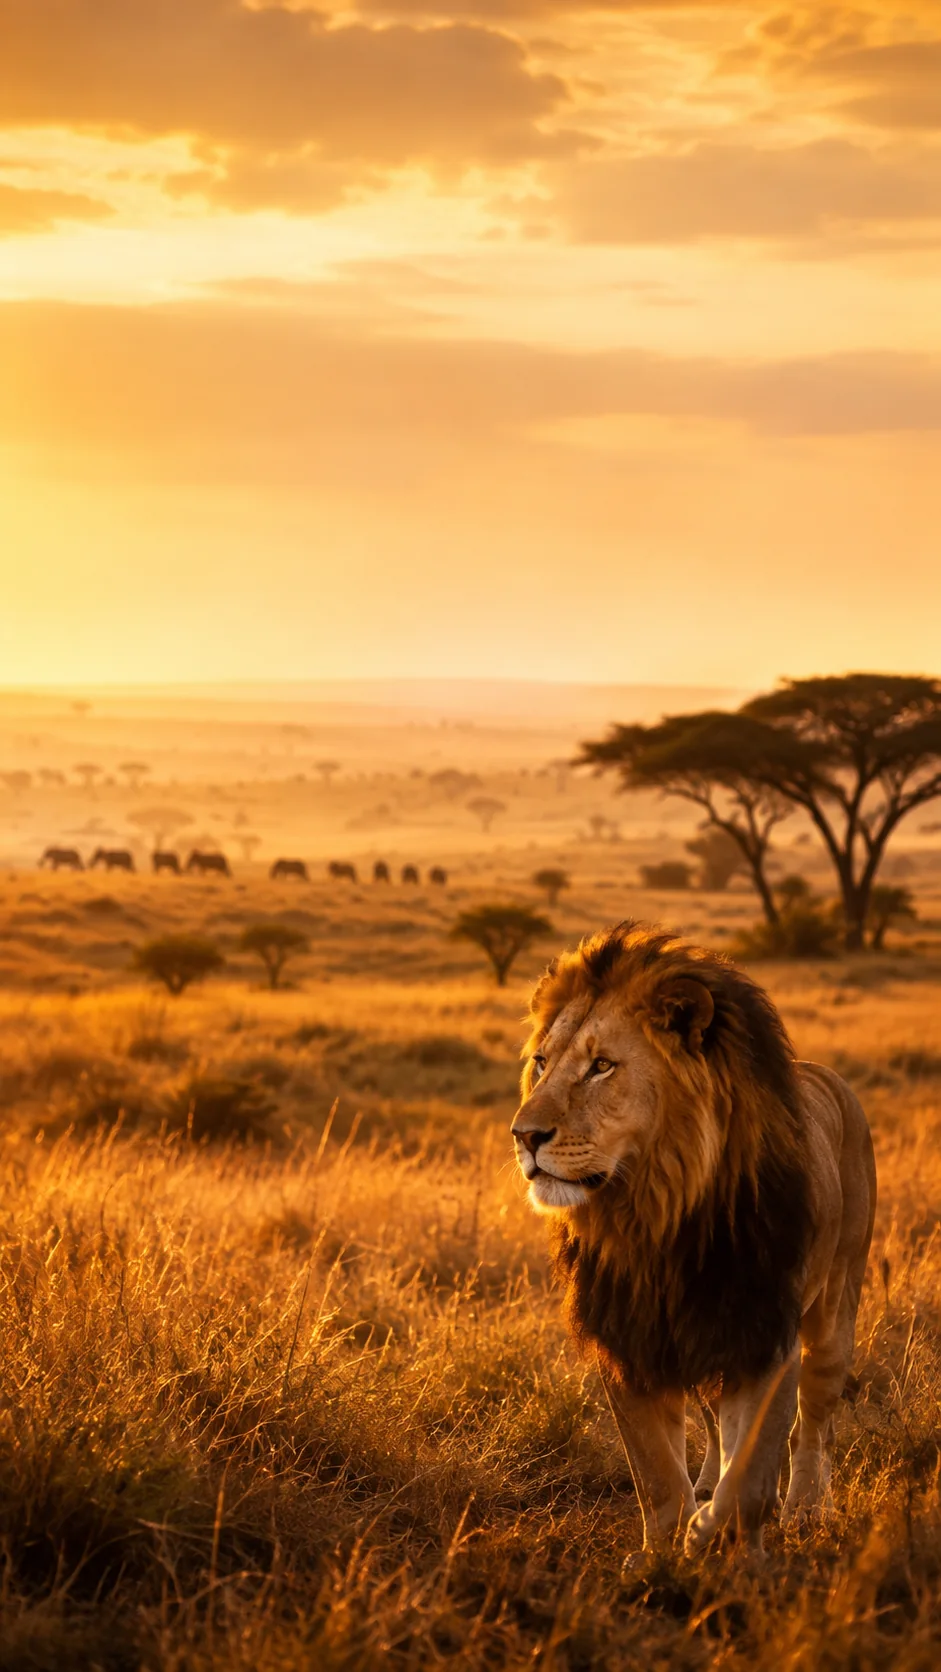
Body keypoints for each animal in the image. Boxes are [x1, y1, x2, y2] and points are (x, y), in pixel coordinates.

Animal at [511, 922, 876, 1557]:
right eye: (541, 1062)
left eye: (601, 1066)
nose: (523, 1135)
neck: (656, 1218)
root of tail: (829, 1076)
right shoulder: (629, 1343)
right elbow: (655, 1469)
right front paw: (663, 1553)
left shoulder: (763, 1335)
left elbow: (753, 1468)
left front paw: (717, 1536)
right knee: (715, 1423)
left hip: (834, 1314)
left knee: (815, 1425)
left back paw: (806, 1508)